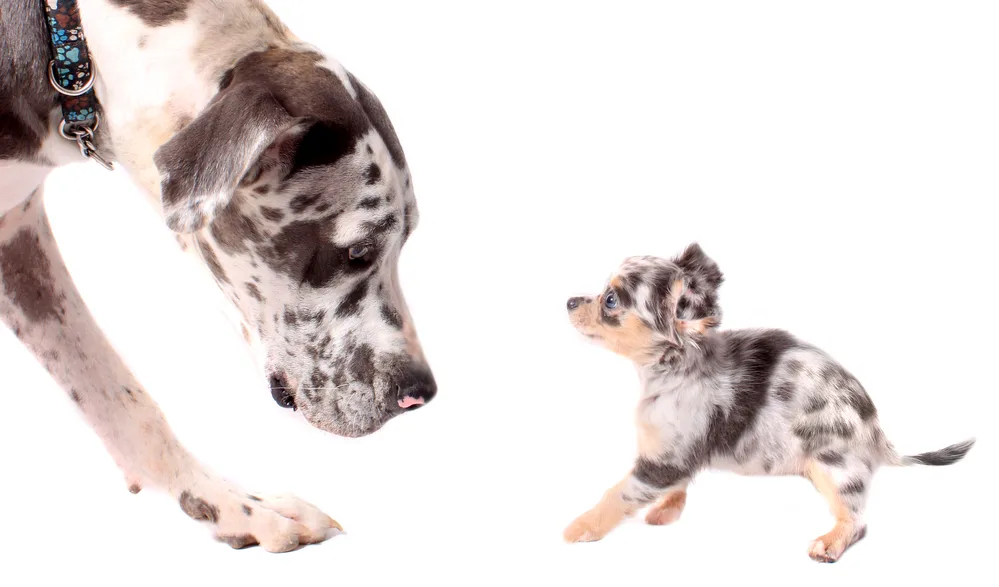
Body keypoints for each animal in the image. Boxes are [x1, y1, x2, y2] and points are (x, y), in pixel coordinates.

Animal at [564, 245, 976, 564]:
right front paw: (667, 509)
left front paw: (583, 525)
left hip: (835, 467)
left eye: (610, 299)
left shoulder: (666, 458)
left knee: (857, 521)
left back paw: (830, 542)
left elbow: (618, 493)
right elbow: (676, 485)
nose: (568, 301)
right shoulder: (673, 452)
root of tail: (876, 434)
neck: (673, 368)